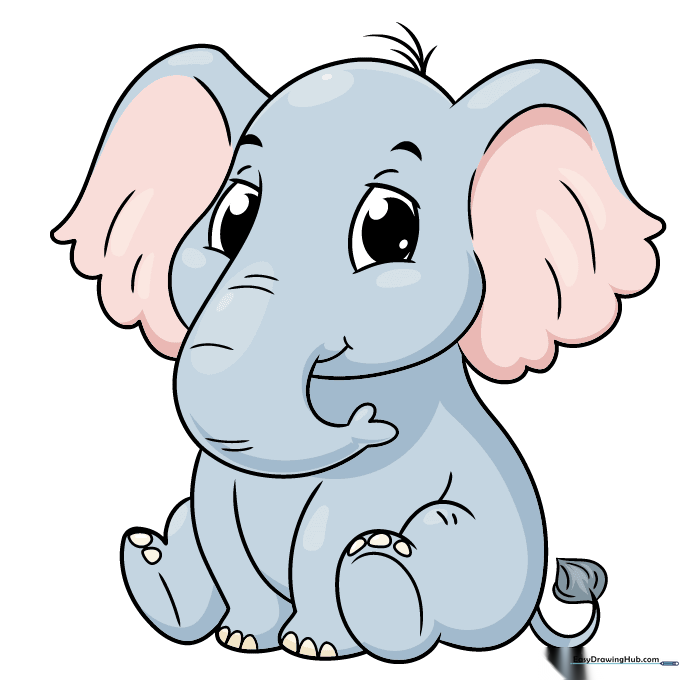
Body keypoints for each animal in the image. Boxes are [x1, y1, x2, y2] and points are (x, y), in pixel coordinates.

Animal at [52, 29, 663, 663]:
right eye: (232, 218)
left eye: (388, 228)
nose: (366, 423)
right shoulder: (216, 473)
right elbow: (214, 517)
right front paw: (243, 639)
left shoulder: (405, 454)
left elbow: (331, 529)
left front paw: (312, 646)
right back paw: (152, 565)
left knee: (437, 539)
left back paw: (381, 564)